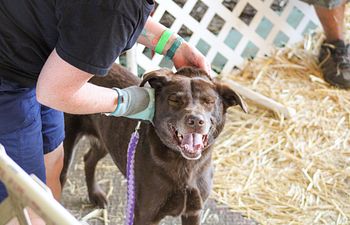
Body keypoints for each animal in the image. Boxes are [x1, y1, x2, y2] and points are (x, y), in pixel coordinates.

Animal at [60, 63, 246, 225]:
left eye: (209, 101)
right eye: (174, 100)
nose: (195, 121)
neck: (184, 164)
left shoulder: (193, 212)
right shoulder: (146, 215)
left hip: (106, 140)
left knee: (89, 159)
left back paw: (95, 195)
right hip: (67, 141)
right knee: (62, 174)